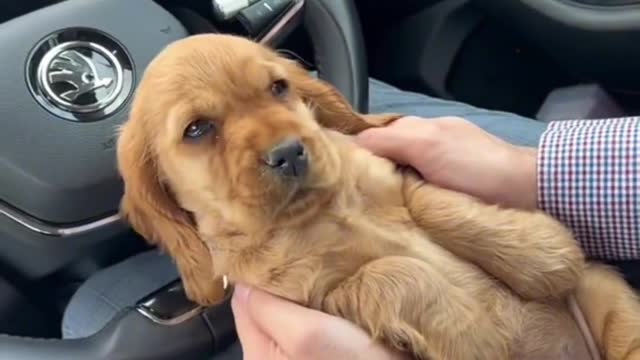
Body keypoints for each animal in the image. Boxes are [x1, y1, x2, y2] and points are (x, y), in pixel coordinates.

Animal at [116, 34, 640, 360]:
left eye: (279, 87)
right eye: (197, 129)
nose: (289, 153)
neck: (326, 212)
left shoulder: (398, 176)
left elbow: (433, 202)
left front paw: (543, 254)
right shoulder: (323, 297)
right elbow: (390, 273)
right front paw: (474, 334)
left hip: (602, 290)